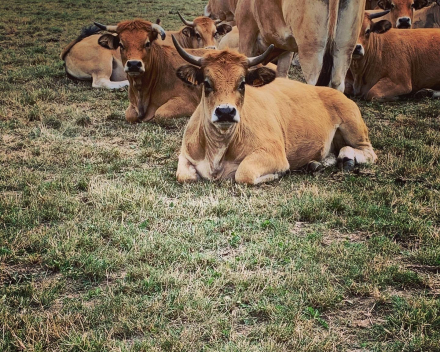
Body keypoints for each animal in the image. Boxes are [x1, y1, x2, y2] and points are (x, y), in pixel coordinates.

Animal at [173, 37, 378, 186]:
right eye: (207, 83)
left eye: (242, 83)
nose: (225, 112)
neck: (218, 149)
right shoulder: (185, 155)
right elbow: (184, 176)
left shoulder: (274, 153)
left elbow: (243, 174)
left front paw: (277, 174)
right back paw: (315, 164)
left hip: (353, 126)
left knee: (368, 152)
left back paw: (347, 157)